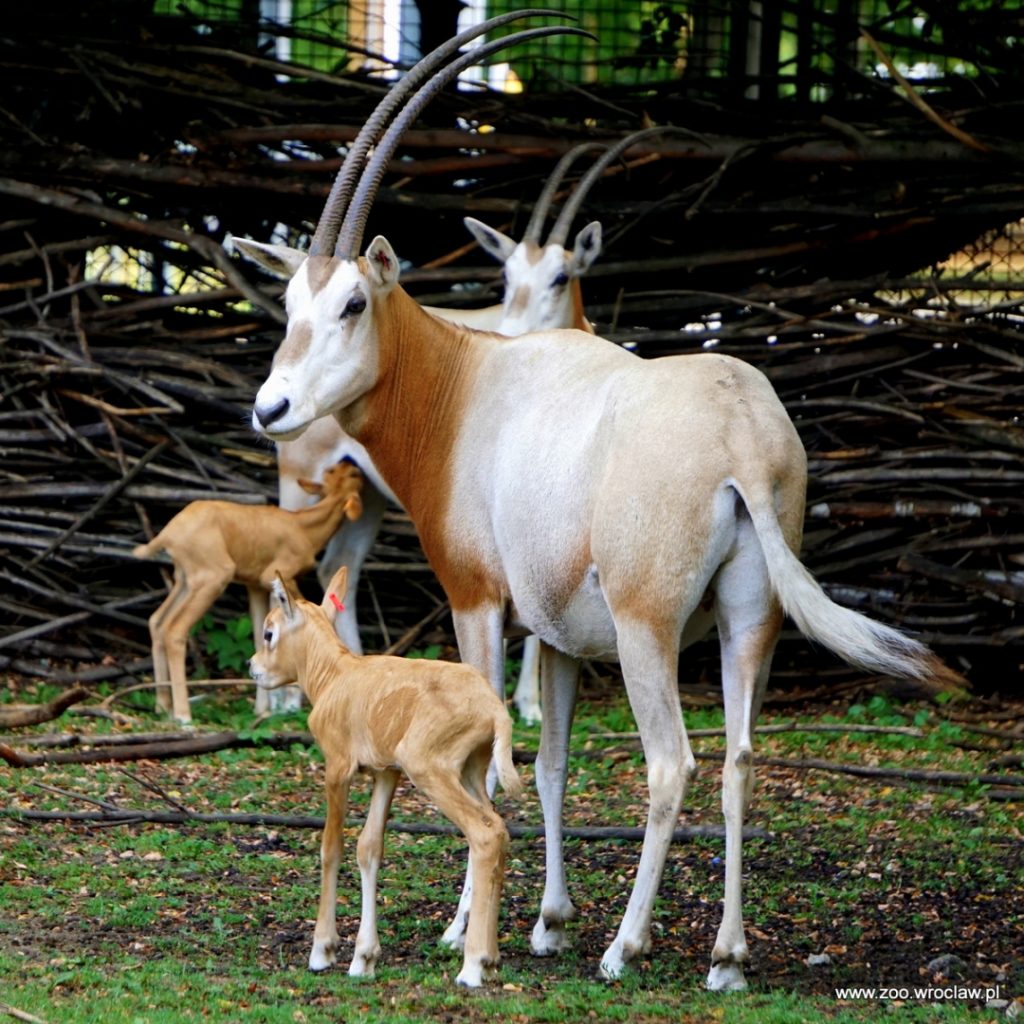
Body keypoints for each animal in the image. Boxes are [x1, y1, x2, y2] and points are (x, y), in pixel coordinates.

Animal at [132, 460, 362, 724]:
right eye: (354, 475)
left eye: (333, 471)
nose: (351, 462)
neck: (304, 529)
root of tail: (167, 535)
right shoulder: (277, 574)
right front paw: (287, 702)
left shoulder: (255, 585)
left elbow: (259, 635)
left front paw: (263, 709)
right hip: (212, 576)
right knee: (174, 629)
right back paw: (183, 716)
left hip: (185, 579)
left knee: (157, 621)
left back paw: (162, 706)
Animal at [246, 565, 520, 987]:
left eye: (269, 632)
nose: (253, 667)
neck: (335, 677)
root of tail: (494, 709)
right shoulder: (386, 773)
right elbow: (369, 847)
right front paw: (364, 958)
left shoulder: (337, 767)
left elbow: (332, 847)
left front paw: (322, 951)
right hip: (472, 770)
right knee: (500, 829)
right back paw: (489, 959)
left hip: (430, 768)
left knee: (485, 833)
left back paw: (472, 966)